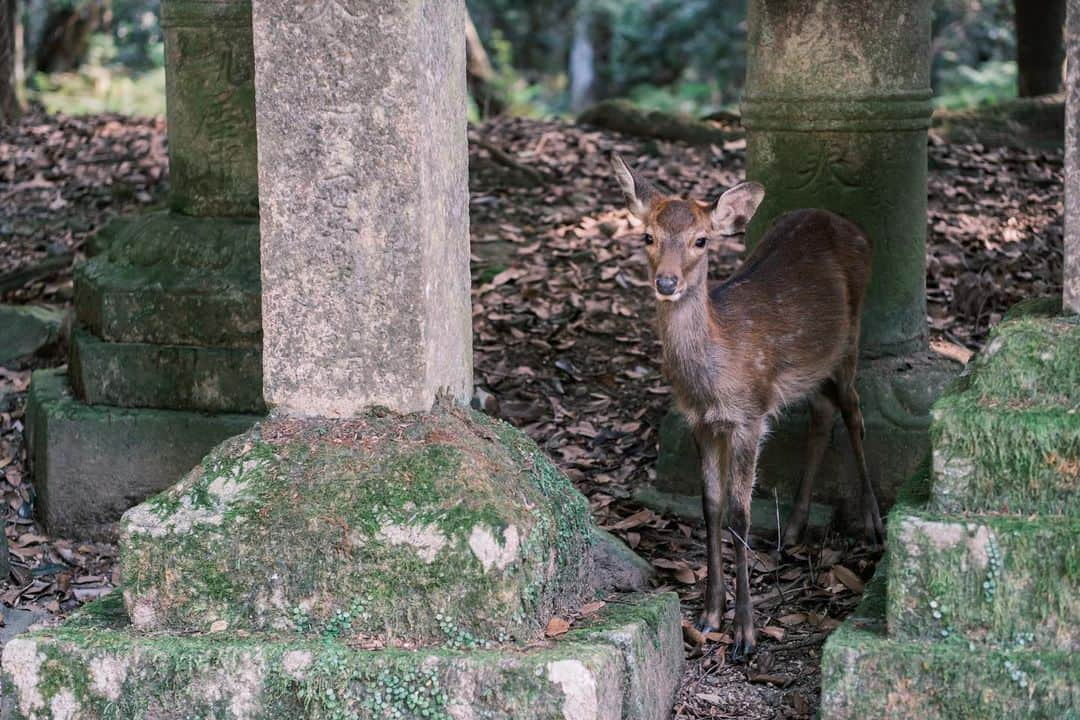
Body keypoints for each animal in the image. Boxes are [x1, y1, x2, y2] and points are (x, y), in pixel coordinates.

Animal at [613, 152, 881, 660]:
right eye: (647, 237)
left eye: (701, 240)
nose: (666, 282)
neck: (713, 379)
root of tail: (842, 221)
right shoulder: (700, 421)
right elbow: (710, 505)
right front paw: (709, 614)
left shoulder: (749, 416)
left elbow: (740, 513)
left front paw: (745, 634)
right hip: (812, 367)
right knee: (822, 414)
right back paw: (793, 530)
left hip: (852, 339)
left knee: (854, 412)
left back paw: (875, 526)